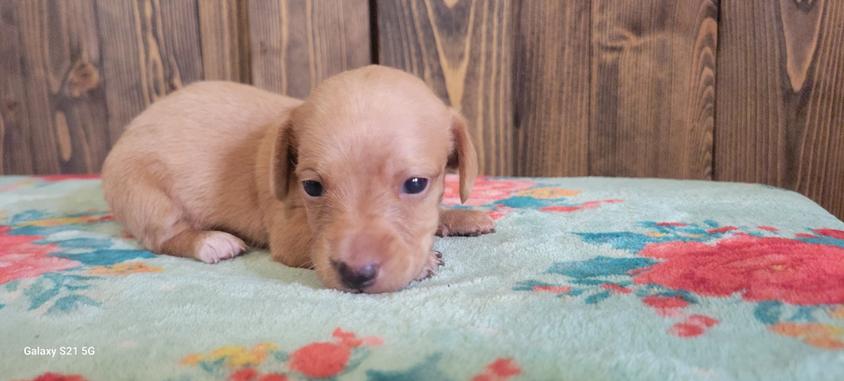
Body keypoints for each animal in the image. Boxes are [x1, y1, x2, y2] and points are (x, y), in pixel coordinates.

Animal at [100, 64, 494, 290]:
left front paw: (459, 217)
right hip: (145, 195)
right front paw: (426, 261)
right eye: (312, 187)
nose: (356, 275)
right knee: (163, 238)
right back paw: (211, 242)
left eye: (415, 185)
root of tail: (124, 137)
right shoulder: (289, 233)